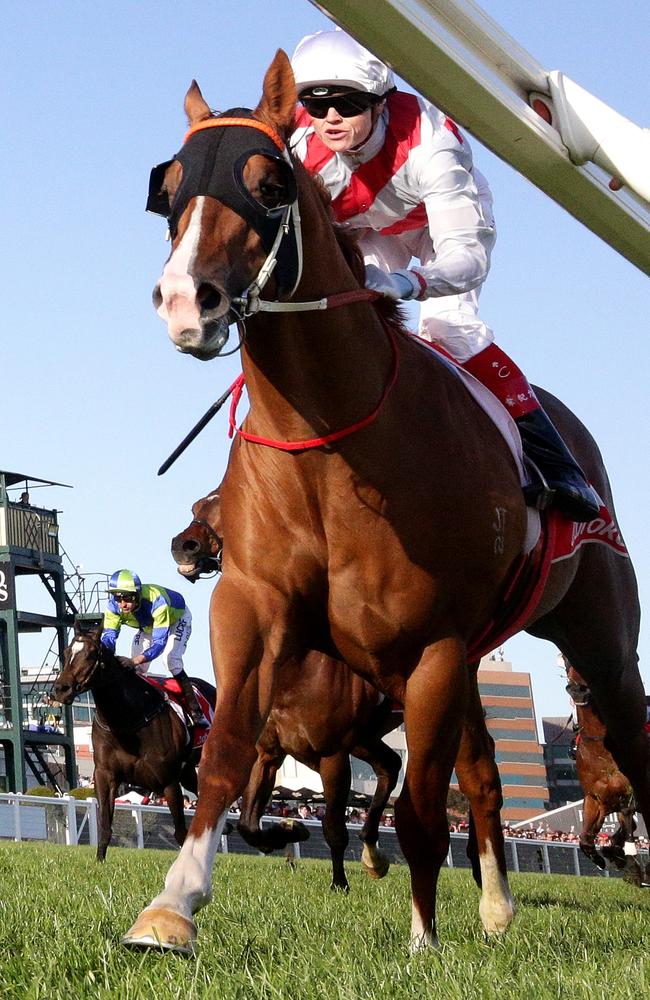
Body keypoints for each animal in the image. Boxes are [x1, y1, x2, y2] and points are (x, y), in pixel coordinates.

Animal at [53, 616, 215, 860]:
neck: (127, 721)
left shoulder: (168, 782)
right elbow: (105, 827)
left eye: (90, 654)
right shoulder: (105, 775)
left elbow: (180, 833)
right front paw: (100, 862)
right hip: (187, 772)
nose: (60, 689)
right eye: (66, 652)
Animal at [172, 488, 402, 888]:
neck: (297, 671)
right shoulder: (269, 753)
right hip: (364, 738)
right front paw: (289, 830)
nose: (184, 545)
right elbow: (249, 823)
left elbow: (334, 827)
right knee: (390, 765)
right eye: (196, 507)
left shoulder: (333, 755)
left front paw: (339, 884)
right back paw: (373, 853)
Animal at [560, 664, 644, 884]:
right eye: (567, 662)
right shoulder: (595, 798)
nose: (578, 691)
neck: (600, 748)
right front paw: (607, 855)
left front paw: (632, 868)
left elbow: (628, 825)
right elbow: (586, 839)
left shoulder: (628, 794)